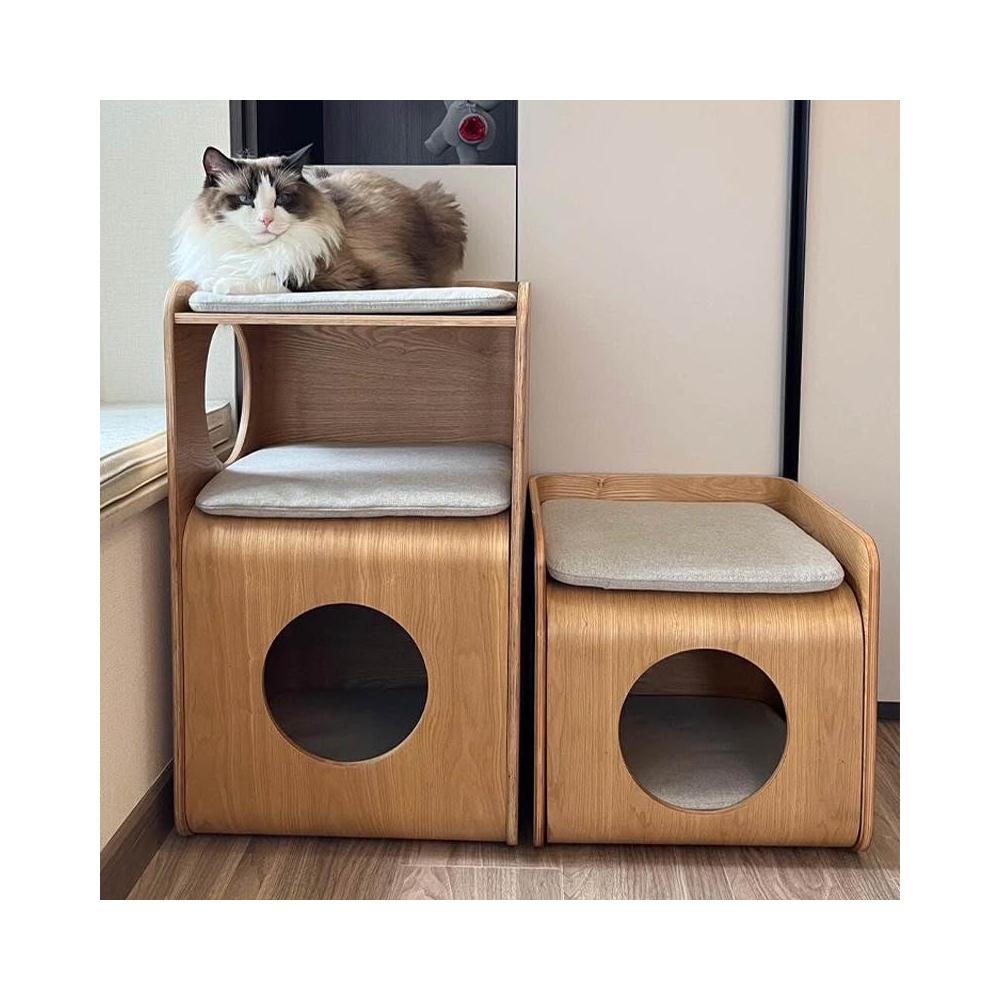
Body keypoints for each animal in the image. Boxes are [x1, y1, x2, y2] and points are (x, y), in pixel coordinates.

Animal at [172, 145, 466, 294]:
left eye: (282, 199)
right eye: (246, 198)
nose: (266, 220)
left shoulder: (341, 275)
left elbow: (278, 277)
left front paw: (221, 284)